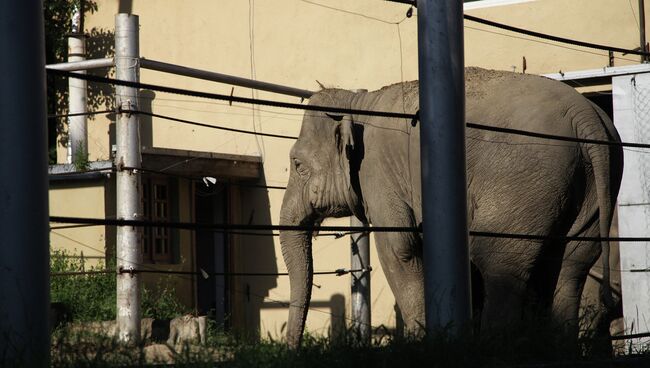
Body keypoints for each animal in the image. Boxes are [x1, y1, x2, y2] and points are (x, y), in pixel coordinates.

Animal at [278, 67, 624, 348]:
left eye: (297, 165)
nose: (294, 348)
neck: (359, 102)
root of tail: (587, 119)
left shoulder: (378, 172)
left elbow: (399, 249)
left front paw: (420, 345)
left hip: (524, 187)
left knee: (499, 264)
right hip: (590, 193)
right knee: (568, 268)